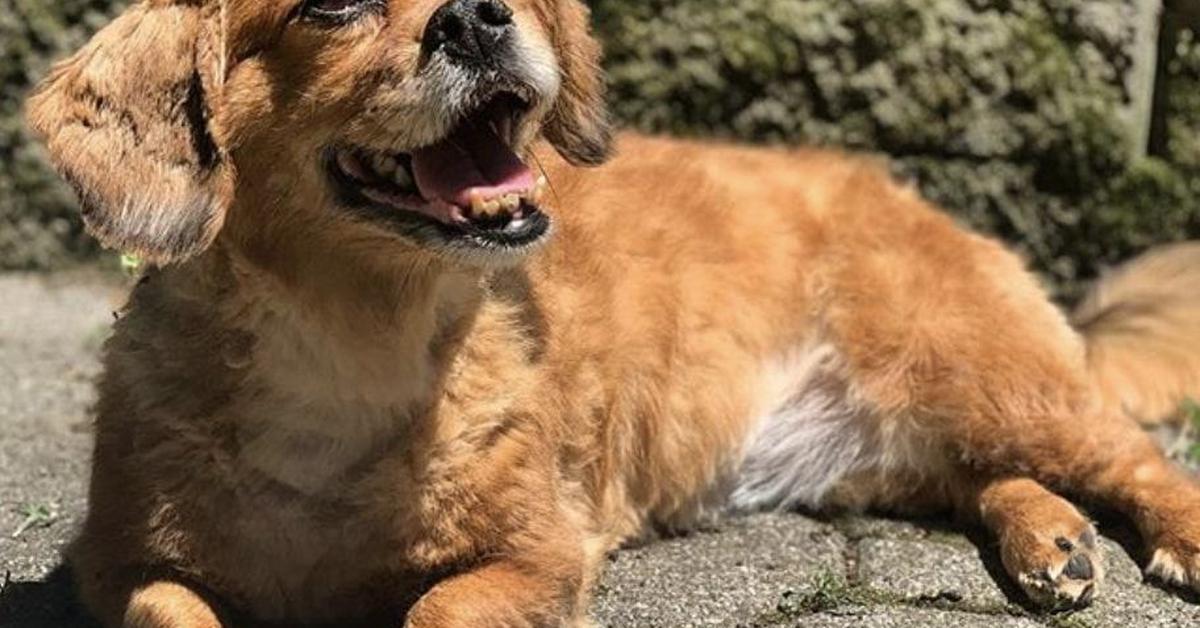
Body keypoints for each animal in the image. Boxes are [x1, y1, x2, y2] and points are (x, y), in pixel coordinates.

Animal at [23, 0, 1200, 624]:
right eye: (328, 6)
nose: (478, 14)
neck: (355, 340)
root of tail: (902, 190)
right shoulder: (118, 565)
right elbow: (171, 605)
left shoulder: (534, 556)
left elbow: (436, 604)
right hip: (882, 448)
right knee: (972, 476)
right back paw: (1050, 533)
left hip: (977, 376)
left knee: (1136, 459)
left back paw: (1161, 536)